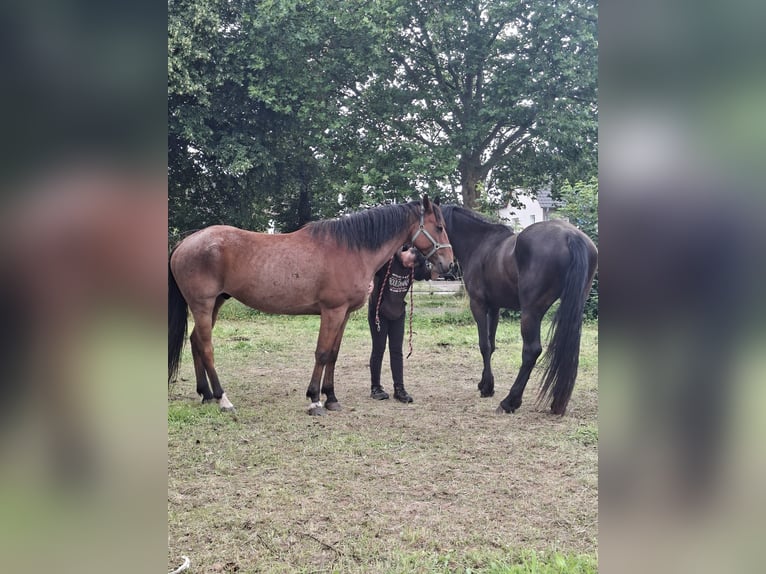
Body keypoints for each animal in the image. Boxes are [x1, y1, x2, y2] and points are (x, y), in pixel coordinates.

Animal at [168, 196, 453, 415]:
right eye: (439, 226)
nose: (448, 264)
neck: (352, 249)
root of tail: (185, 242)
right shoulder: (332, 311)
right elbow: (323, 353)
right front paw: (315, 400)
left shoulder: (344, 314)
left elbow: (334, 354)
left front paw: (332, 399)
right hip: (203, 305)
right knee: (206, 348)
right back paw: (222, 399)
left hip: (215, 303)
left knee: (195, 342)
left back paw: (205, 394)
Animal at [440, 205, 597, 416]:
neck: (480, 243)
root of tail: (571, 236)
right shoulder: (494, 307)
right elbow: (491, 345)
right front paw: (485, 384)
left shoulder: (479, 304)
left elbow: (484, 345)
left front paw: (487, 388)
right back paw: (558, 403)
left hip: (531, 312)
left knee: (531, 351)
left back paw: (510, 401)